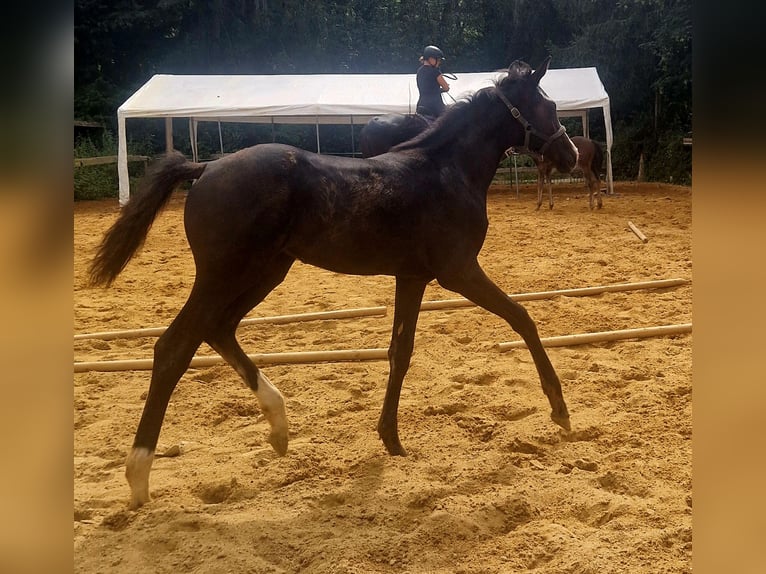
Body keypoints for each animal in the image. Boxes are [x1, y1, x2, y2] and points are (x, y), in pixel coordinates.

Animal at [88, 57, 576, 508]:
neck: (445, 170)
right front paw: (560, 408)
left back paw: (279, 426)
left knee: (218, 329)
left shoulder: (412, 276)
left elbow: (400, 351)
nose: (571, 154)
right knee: (174, 347)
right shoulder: (459, 272)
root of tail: (205, 167)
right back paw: (139, 475)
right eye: (550, 105)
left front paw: (391, 438)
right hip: (223, 275)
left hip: (264, 273)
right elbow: (523, 317)